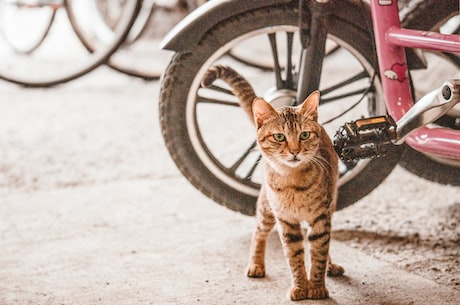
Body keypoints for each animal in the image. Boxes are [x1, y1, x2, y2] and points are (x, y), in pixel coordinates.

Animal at [200, 64, 342, 300]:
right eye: (279, 137)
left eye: (304, 135)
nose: (295, 151)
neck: (294, 182)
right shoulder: (286, 221)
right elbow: (295, 257)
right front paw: (300, 287)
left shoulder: (321, 218)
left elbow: (319, 252)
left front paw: (317, 286)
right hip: (267, 208)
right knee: (259, 232)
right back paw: (256, 264)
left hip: (329, 206)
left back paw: (331, 265)